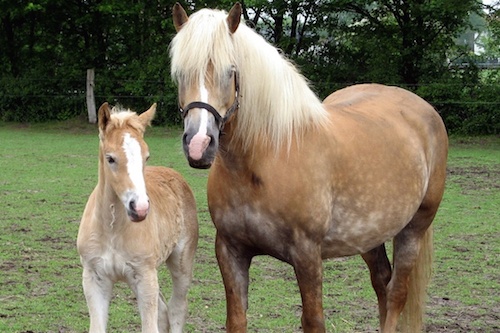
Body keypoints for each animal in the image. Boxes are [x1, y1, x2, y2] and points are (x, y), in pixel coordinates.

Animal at [77, 102, 198, 330]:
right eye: (110, 158)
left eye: (146, 156)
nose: (140, 208)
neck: (112, 229)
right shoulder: (94, 278)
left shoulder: (145, 275)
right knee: (163, 311)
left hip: (180, 262)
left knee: (177, 308)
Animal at [170, 3, 448, 332]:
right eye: (179, 73)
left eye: (231, 71)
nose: (199, 143)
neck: (267, 159)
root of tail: (423, 108)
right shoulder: (230, 250)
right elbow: (236, 319)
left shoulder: (307, 255)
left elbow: (314, 320)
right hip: (370, 234)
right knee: (382, 282)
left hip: (414, 228)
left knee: (396, 294)